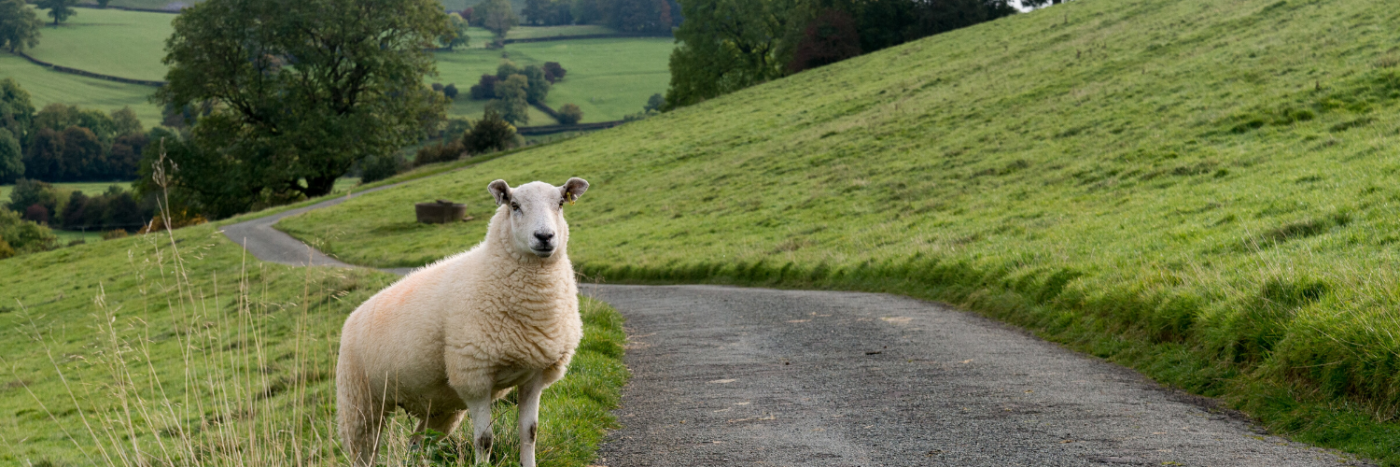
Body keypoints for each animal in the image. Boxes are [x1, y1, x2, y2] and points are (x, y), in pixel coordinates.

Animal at [337, 176, 590, 464]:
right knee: (363, 452)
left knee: (417, 443)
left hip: (439, 405)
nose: (545, 237)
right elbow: (484, 440)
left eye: (560, 203)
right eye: (514, 205)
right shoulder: (474, 376)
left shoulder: (534, 375)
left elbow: (529, 433)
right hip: (359, 403)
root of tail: (354, 314)